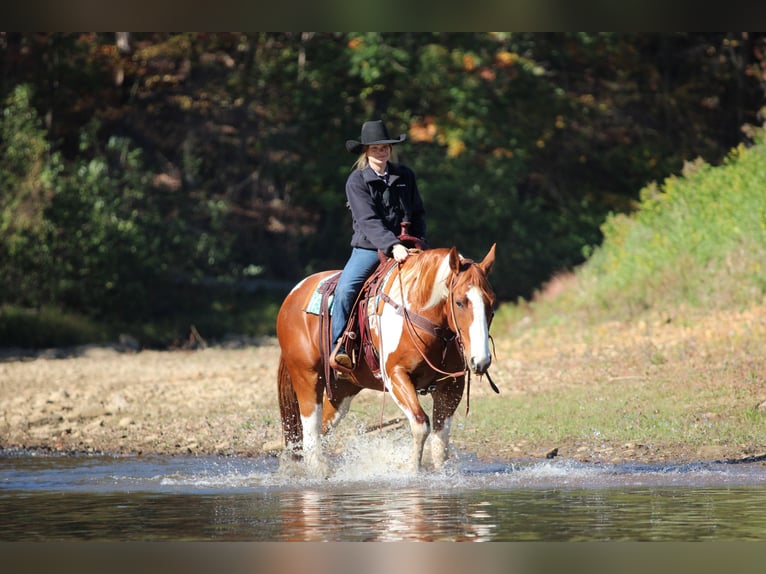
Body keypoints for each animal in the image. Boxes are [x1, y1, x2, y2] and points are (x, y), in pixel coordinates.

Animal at [276, 243, 497, 475]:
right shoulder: (396, 375)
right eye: (459, 302)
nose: (481, 361)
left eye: (491, 304)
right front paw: (412, 470)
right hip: (307, 377)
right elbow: (420, 424)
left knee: (323, 426)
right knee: (311, 429)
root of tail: (294, 294)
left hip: (343, 388)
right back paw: (318, 470)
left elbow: (440, 439)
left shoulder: (452, 385)